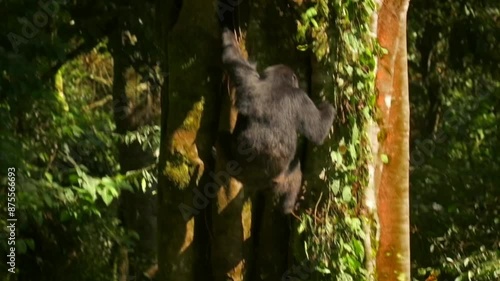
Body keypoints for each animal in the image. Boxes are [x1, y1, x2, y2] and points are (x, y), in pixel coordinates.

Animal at [220, 27, 334, 212]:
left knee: (221, 138)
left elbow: (233, 59)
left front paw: (226, 31)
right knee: (295, 169)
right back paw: (288, 206)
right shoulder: (300, 97)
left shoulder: (250, 79)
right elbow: (318, 132)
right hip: (277, 179)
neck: (275, 83)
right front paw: (327, 107)